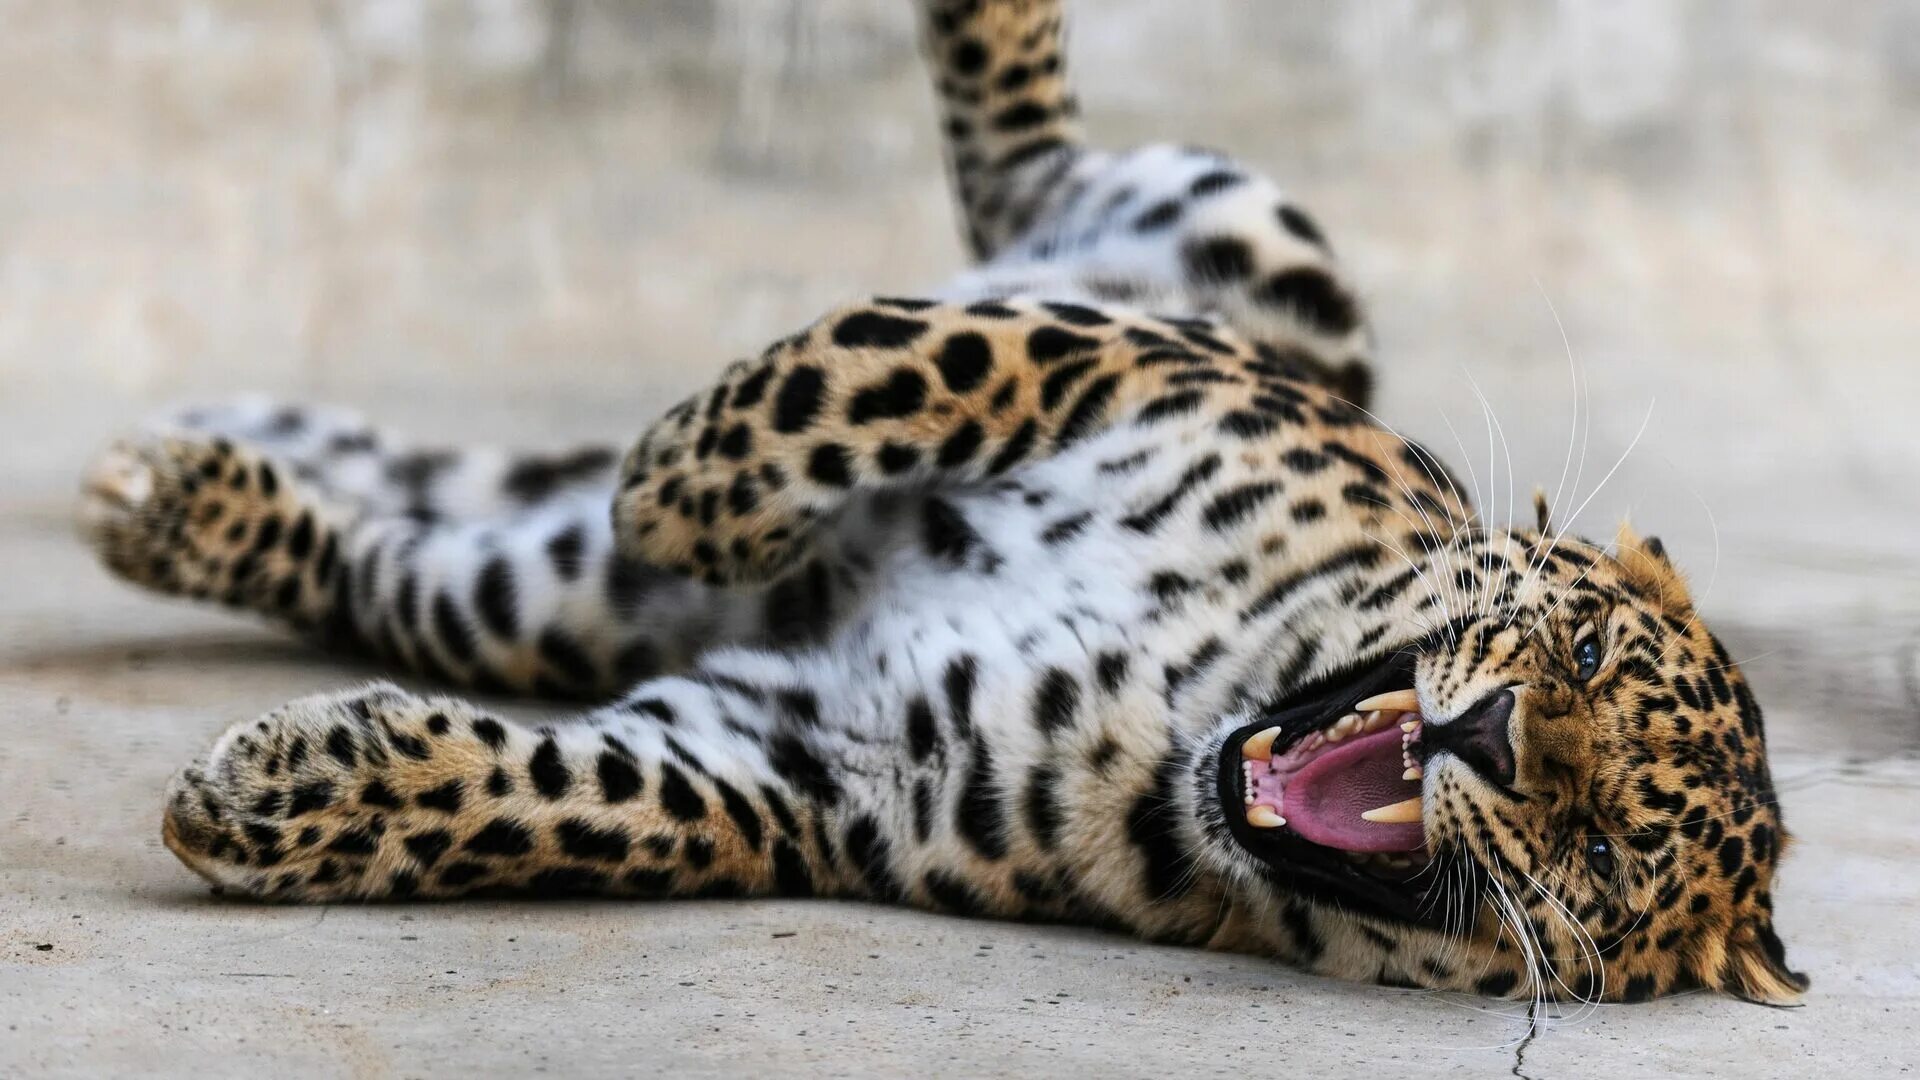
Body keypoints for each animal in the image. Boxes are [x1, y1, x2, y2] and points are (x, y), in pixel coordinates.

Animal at [76, 0, 1803, 1006]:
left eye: (1600, 858)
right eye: (1582, 655)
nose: (1493, 737)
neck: (1199, 695)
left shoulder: (801, 763)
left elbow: (572, 802)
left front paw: (277, 801)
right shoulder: (1129, 362)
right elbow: (903, 361)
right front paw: (689, 485)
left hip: (536, 602)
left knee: (397, 565)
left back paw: (169, 497)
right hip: (1259, 235)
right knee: (1018, 165)